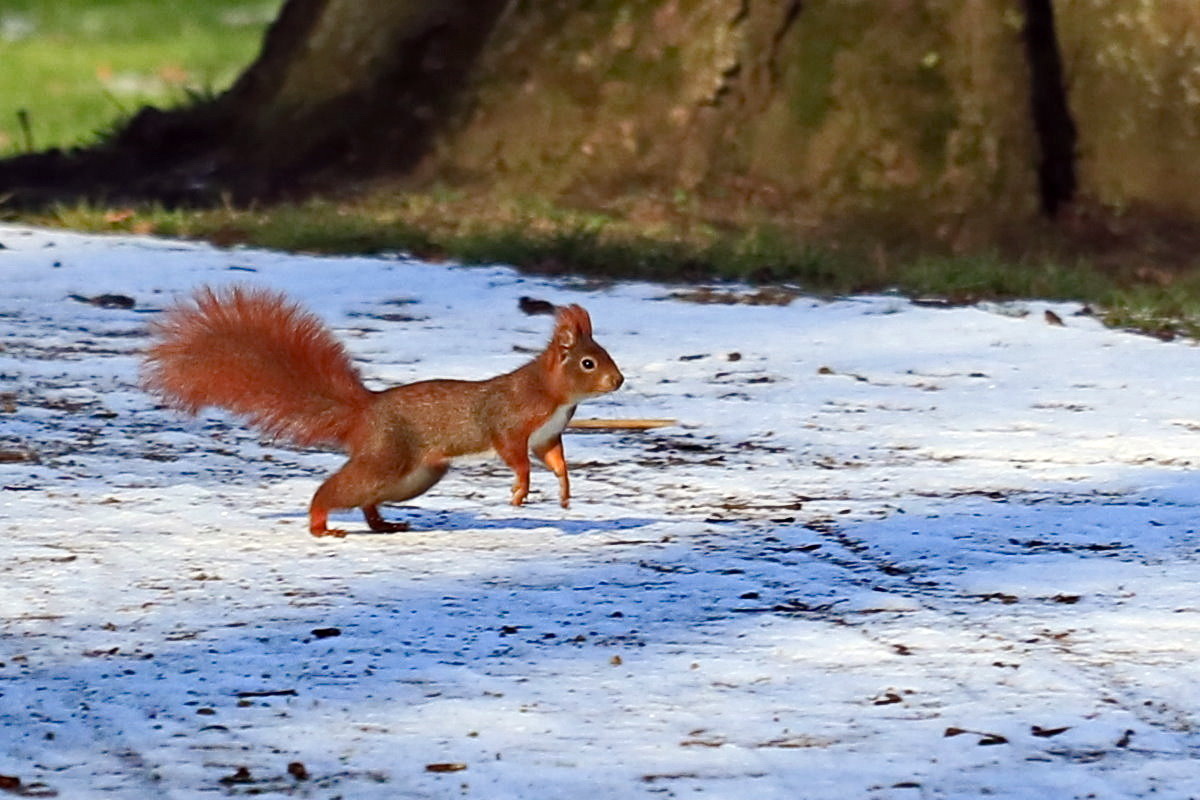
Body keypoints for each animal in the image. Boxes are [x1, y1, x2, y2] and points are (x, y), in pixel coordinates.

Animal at [142, 287, 619, 537]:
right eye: (588, 363)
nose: (618, 381)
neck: (551, 393)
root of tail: (364, 411)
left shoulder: (548, 436)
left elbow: (555, 462)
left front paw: (564, 492)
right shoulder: (510, 423)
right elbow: (516, 458)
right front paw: (520, 491)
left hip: (413, 477)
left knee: (368, 500)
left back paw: (383, 525)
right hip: (386, 459)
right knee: (337, 490)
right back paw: (321, 525)